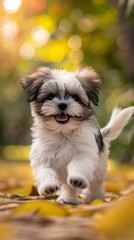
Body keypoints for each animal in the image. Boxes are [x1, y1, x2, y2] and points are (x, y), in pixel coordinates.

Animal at [20, 66, 134, 203]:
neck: (63, 132)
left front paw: (78, 179)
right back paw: (68, 199)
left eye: (75, 98)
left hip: (99, 167)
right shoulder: (42, 156)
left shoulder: (84, 153)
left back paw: (94, 197)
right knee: (68, 187)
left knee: (95, 183)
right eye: (50, 97)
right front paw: (48, 186)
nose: (62, 104)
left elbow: (77, 164)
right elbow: (45, 170)